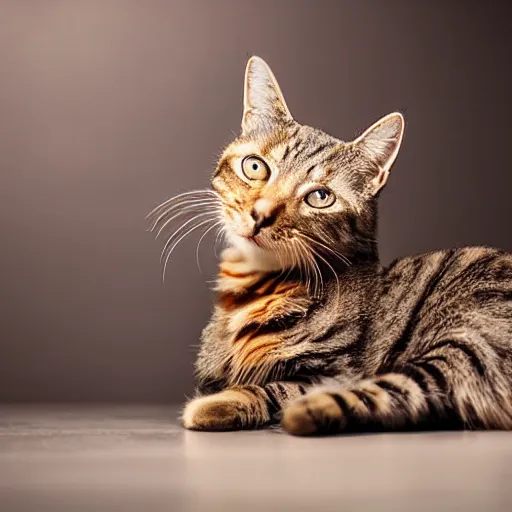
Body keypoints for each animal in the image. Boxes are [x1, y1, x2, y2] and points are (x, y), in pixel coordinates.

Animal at [148, 56, 512, 434]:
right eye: (255, 167)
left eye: (320, 197)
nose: (261, 214)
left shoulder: (336, 369)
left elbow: (275, 387)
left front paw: (221, 402)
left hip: (466, 340)